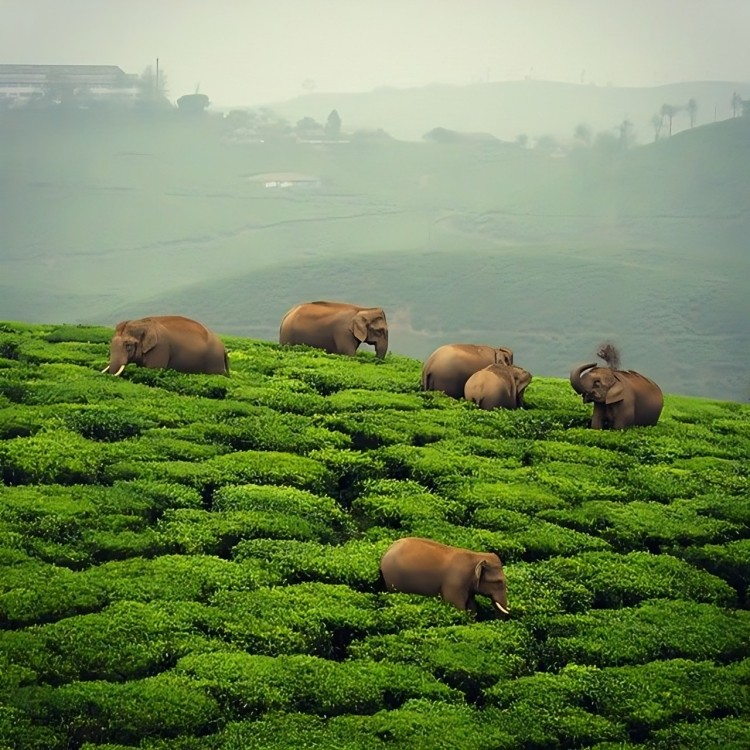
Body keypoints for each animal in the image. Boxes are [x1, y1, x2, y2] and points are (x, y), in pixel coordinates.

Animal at [382, 540, 512, 616]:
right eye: (498, 582)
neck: (476, 556)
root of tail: (388, 549)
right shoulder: (454, 584)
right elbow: (457, 606)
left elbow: (472, 607)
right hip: (392, 580)